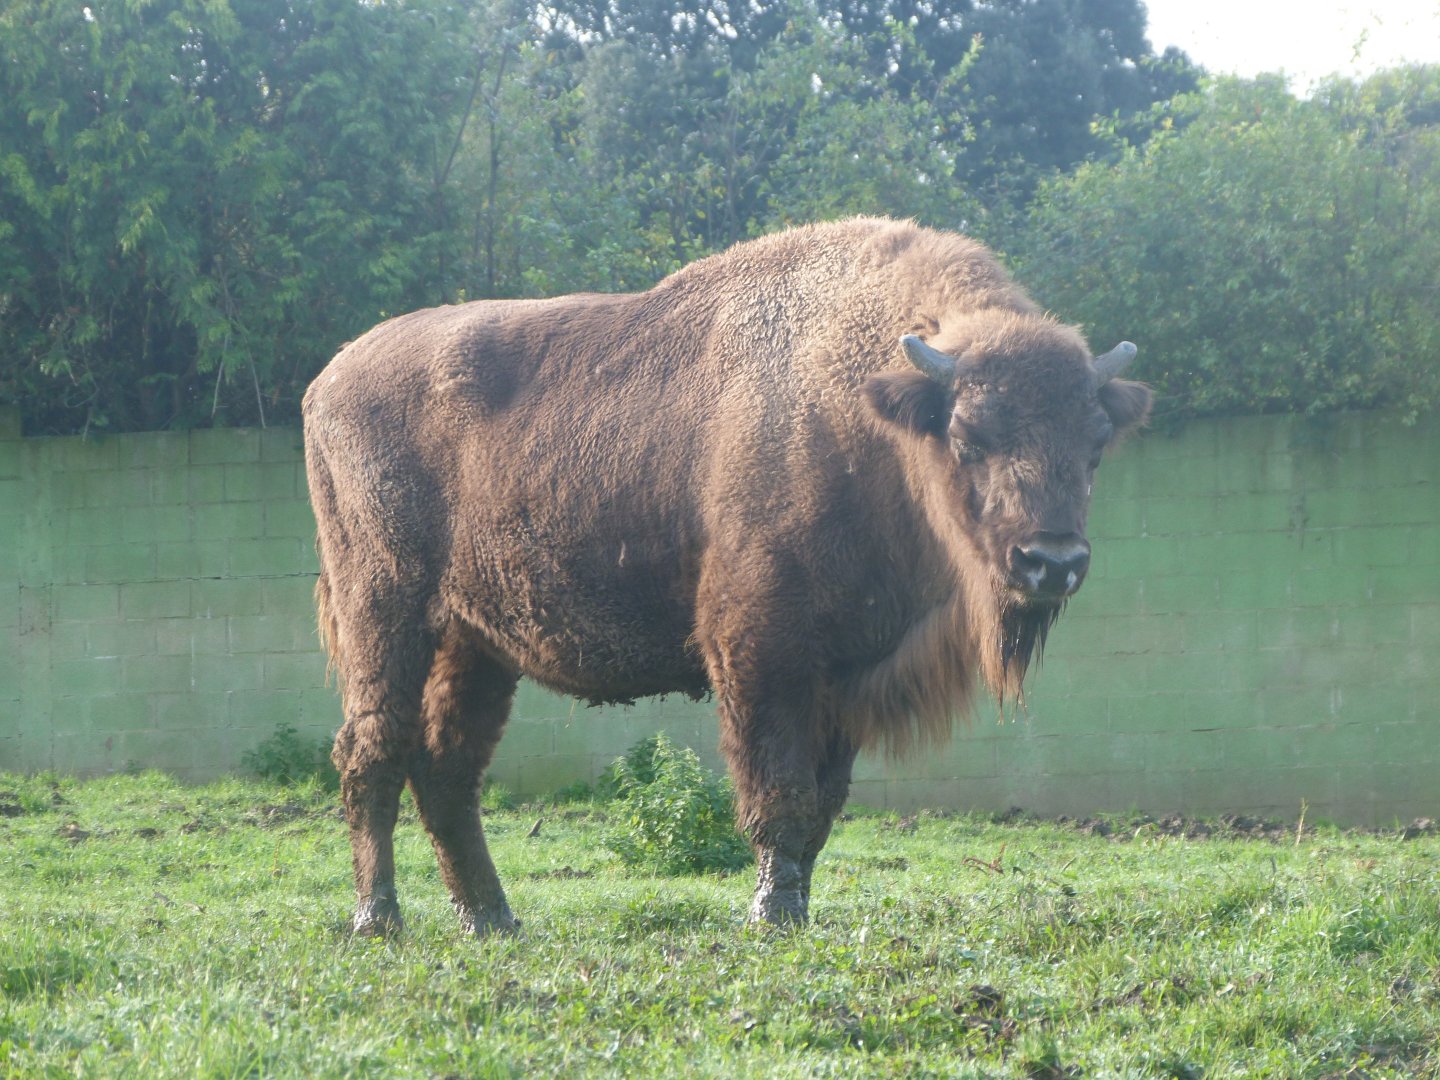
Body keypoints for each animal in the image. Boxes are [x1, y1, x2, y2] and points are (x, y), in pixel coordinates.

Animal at [303, 217, 1150, 935]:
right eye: (970, 435)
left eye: (1095, 441)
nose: (1052, 562)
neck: (862, 409)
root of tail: (326, 382)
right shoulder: (760, 649)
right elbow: (779, 791)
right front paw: (770, 915)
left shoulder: (844, 673)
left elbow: (823, 803)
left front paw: (795, 910)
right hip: (384, 609)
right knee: (372, 749)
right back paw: (379, 919)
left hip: (474, 643)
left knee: (447, 766)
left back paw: (491, 919)